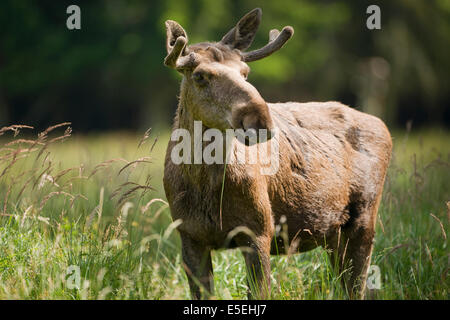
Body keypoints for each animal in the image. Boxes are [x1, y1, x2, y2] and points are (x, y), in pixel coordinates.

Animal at [163, 8, 392, 300]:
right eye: (200, 75)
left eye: (245, 72)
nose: (260, 119)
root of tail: (383, 125)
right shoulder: (189, 233)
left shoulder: (260, 228)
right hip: (334, 233)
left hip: (364, 216)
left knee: (360, 285)